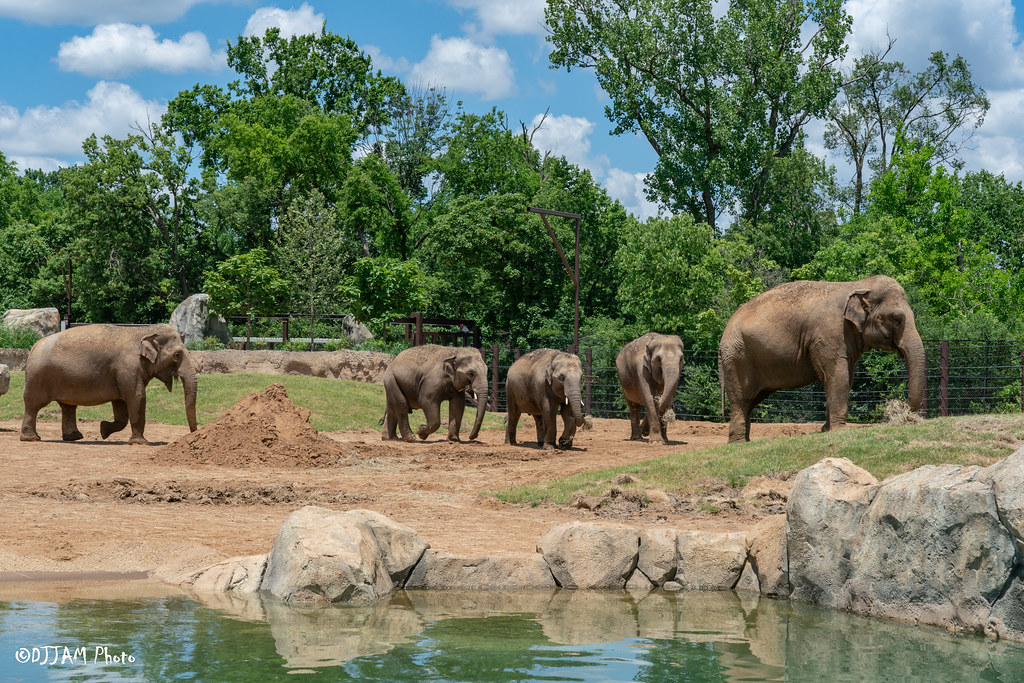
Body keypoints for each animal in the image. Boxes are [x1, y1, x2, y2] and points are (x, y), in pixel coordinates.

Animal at [19, 323, 198, 446]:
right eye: (177, 355)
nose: (192, 435)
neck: (144, 330)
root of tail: (33, 347)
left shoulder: (121, 376)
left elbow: (121, 407)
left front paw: (103, 430)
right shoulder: (128, 368)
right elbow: (137, 397)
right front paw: (140, 443)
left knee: (68, 407)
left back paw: (74, 437)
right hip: (37, 377)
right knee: (33, 405)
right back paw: (31, 438)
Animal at [720, 276, 929, 444]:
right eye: (896, 319)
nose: (905, 412)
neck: (858, 284)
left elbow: (844, 378)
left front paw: (825, 430)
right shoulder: (828, 335)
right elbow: (838, 377)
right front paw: (838, 430)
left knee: (750, 401)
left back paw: (745, 441)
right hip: (737, 357)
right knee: (740, 400)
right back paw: (738, 444)